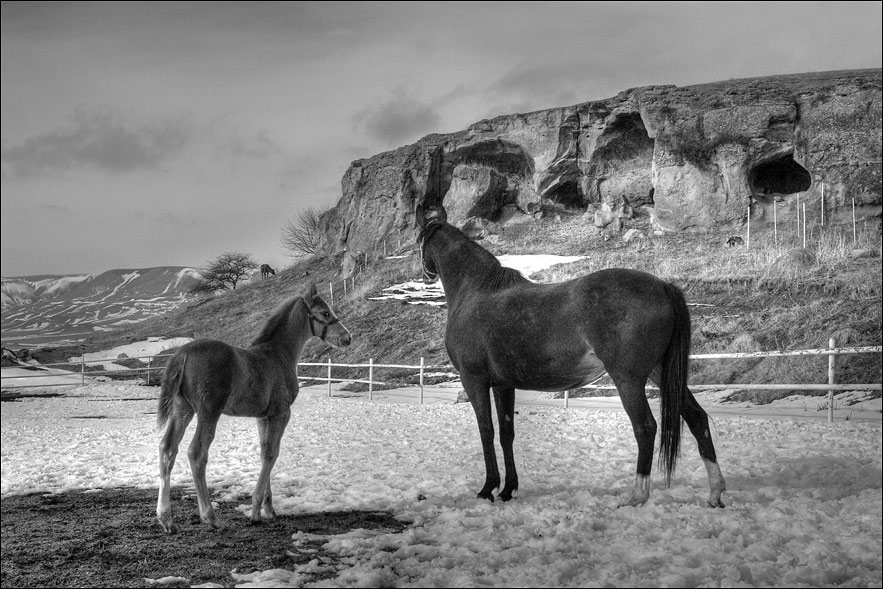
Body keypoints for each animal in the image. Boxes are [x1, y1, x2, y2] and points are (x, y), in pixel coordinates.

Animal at [155, 282, 351, 533]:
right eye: (325, 313)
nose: (347, 337)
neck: (278, 354)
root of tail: (183, 353)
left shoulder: (262, 417)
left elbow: (263, 451)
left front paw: (269, 508)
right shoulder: (281, 413)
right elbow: (271, 454)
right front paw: (257, 511)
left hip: (183, 409)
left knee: (167, 449)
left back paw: (166, 519)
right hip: (209, 412)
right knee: (197, 453)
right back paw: (210, 517)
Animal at [416, 205, 726, 508]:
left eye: (420, 239)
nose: (425, 274)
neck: (476, 292)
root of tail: (663, 286)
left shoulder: (474, 381)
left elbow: (486, 431)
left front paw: (487, 489)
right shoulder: (504, 385)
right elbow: (506, 433)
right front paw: (507, 489)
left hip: (628, 379)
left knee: (645, 428)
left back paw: (637, 496)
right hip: (662, 373)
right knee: (697, 419)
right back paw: (715, 493)